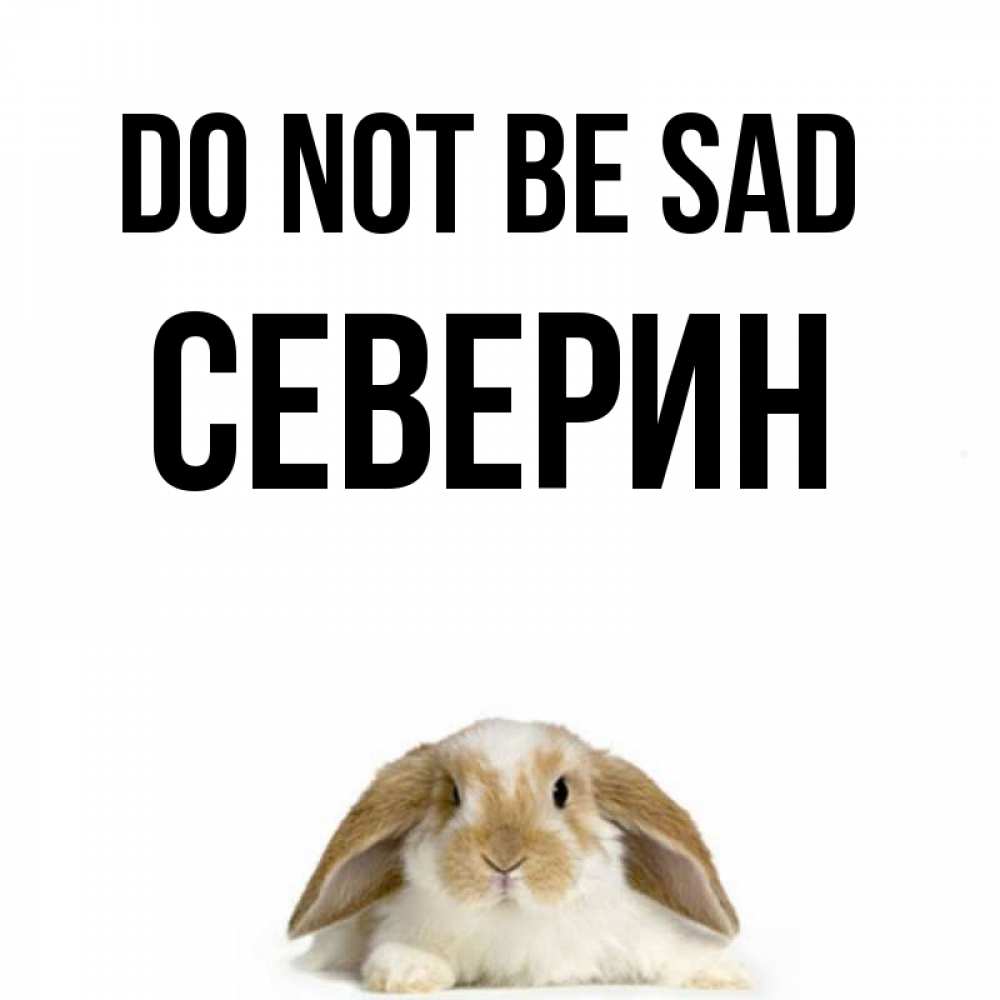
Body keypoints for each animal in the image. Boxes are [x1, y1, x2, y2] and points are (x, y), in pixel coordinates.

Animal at [288, 719, 750, 991]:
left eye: (561, 791)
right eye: (453, 795)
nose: (504, 859)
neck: (514, 918)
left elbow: (674, 950)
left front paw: (725, 973)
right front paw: (409, 973)